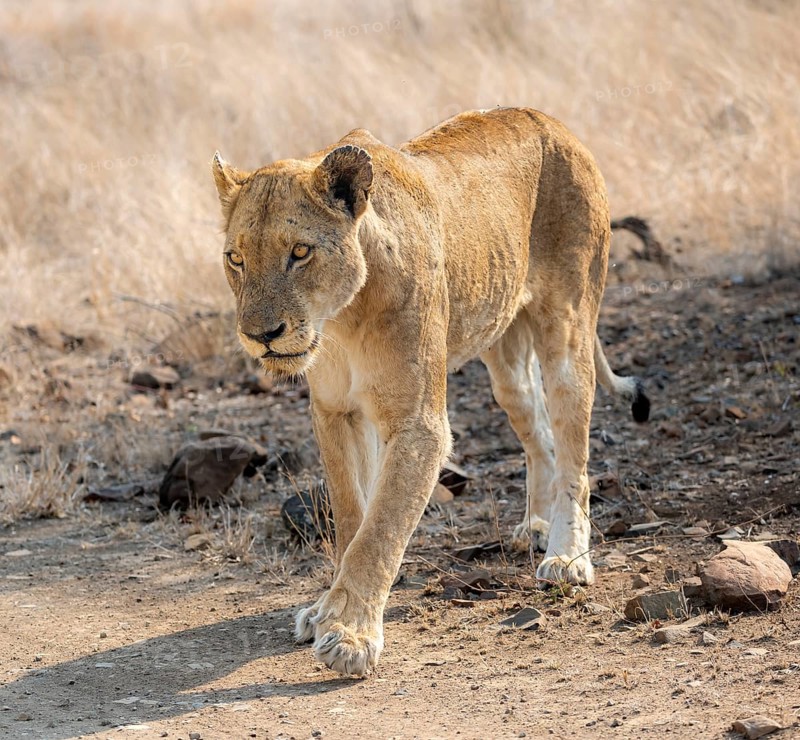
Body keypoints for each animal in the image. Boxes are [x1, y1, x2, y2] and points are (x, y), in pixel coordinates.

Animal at [211, 107, 650, 677]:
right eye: (236, 259)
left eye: (299, 252)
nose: (261, 335)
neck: (342, 320)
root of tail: (551, 120)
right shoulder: (335, 412)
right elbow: (353, 515)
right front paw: (328, 608)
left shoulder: (419, 423)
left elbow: (380, 529)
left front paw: (349, 635)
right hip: (505, 360)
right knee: (539, 434)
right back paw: (534, 525)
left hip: (569, 327)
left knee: (574, 451)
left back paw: (566, 556)